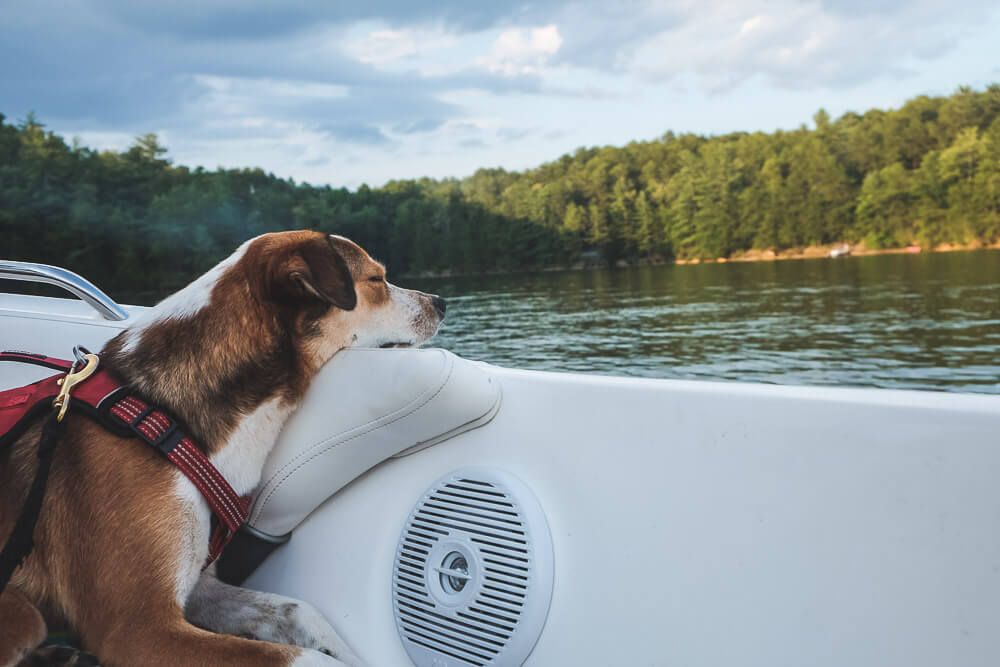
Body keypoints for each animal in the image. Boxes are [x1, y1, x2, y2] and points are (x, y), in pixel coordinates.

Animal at [0, 231, 446, 667]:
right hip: (24, 614)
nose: (440, 303)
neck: (166, 414)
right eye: (376, 280)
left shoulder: (197, 584)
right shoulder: (139, 627)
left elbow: (300, 613)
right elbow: (303, 658)